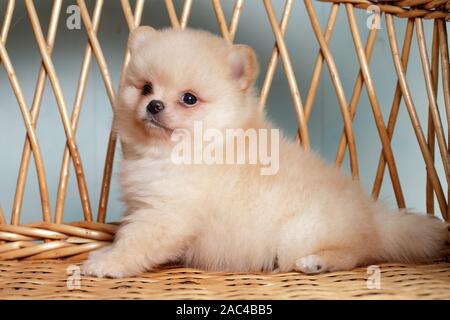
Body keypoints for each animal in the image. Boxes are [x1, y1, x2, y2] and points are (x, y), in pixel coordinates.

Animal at [82, 26, 448, 278]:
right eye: (145, 88)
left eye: (189, 98)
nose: (154, 105)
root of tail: (374, 217)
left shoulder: (165, 214)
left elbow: (133, 242)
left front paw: (106, 262)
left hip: (300, 232)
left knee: (357, 253)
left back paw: (316, 262)